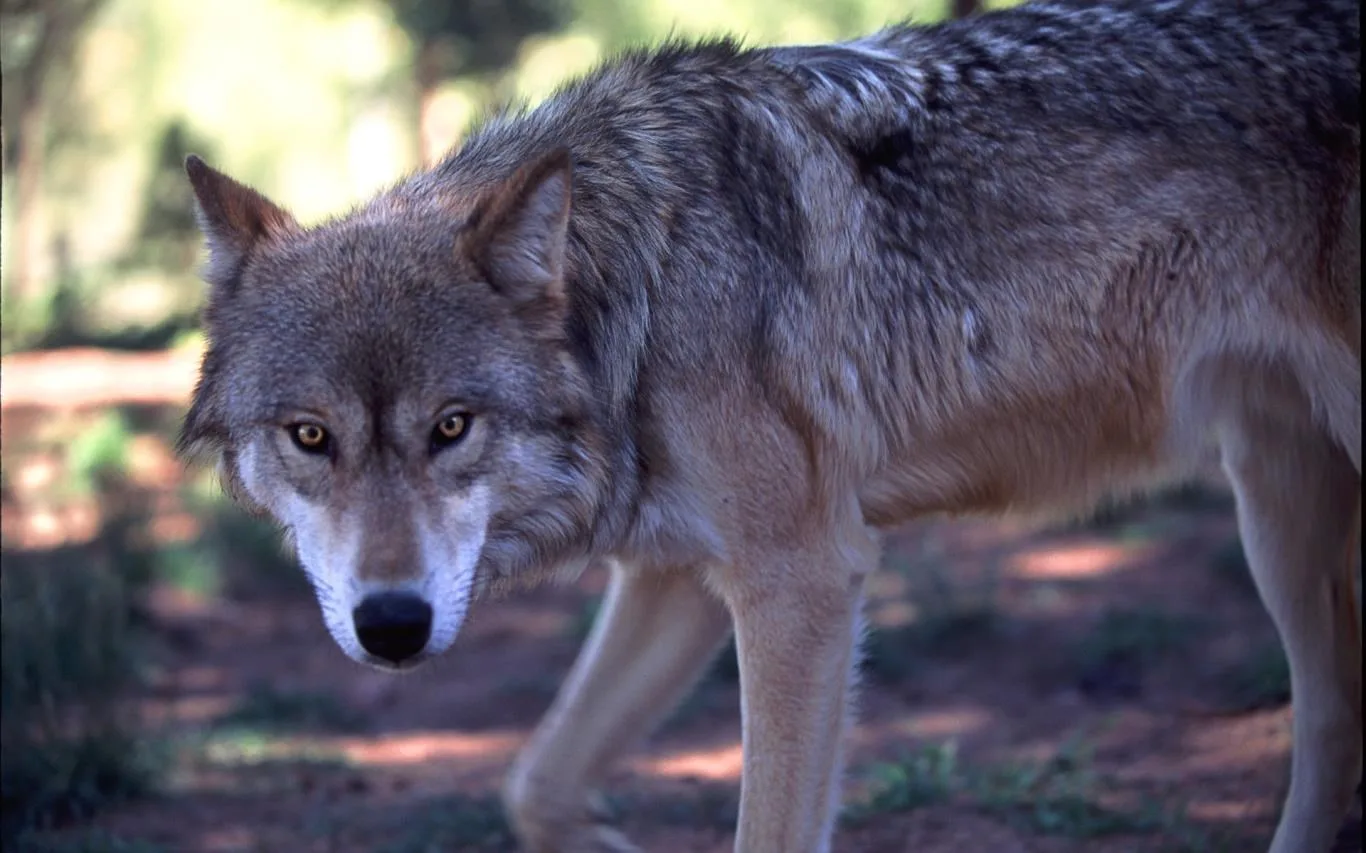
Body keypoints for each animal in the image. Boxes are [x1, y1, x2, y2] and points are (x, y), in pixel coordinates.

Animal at [177, 0, 1361, 850]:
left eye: (452, 427)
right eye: (311, 436)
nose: (392, 625)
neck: (641, 291)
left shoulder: (801, 580)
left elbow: (767, 826)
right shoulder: (673, 576)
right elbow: (536, 783)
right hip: (1278, 507)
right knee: (1330, 718)